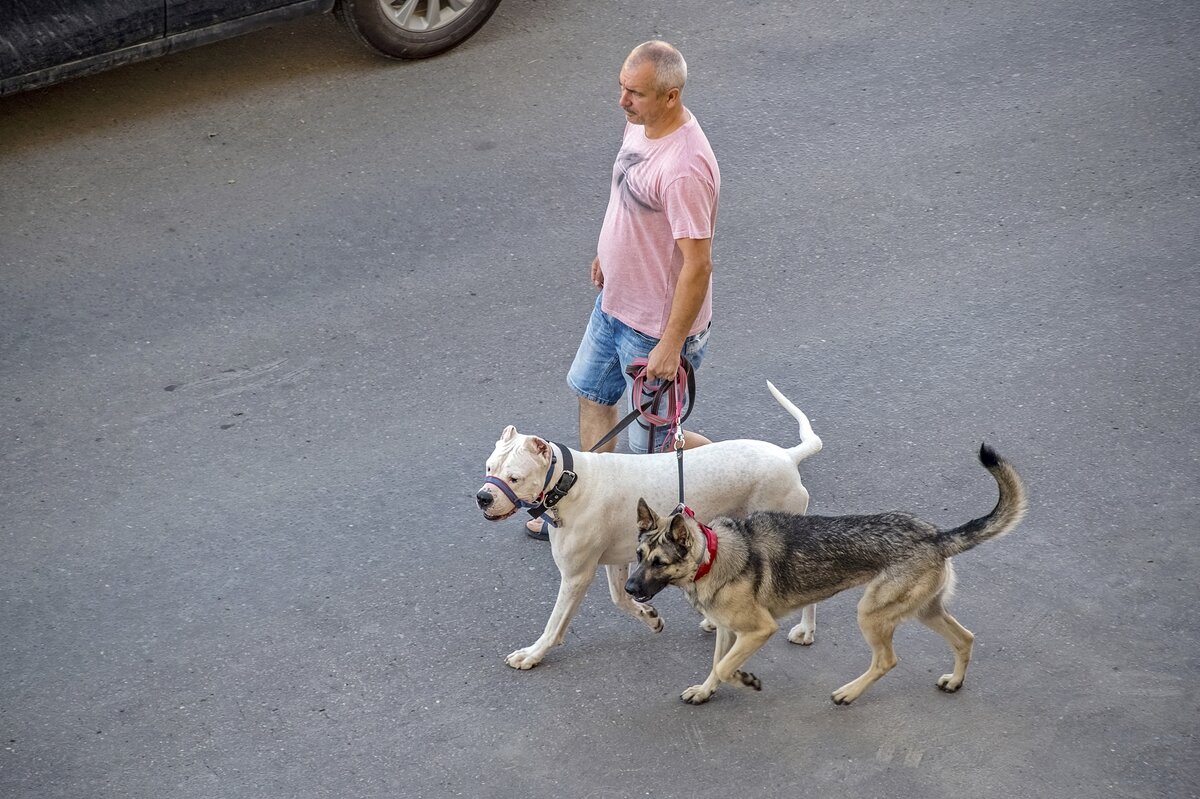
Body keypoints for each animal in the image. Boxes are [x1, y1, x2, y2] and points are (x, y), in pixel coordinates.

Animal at [477, 379, 825, 667]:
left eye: (515, 478)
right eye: (489, 466)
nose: (483, 497)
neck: (570, 482)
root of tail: (788, 456)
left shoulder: (576, 576)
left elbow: (554, 624)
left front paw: (532, 654)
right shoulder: (617, 561)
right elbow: (621, 598)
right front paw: (649, 617)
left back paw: (805, 630)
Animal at [624, 441, 1027, 705]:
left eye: (659, 562)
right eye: (639, 555)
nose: (628, 588)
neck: (714, 554)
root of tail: (936, 535)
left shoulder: (759, 629)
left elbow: (725, 667)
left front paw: (744, 678)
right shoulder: (727, 629)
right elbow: (716, 663)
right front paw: (706, 691)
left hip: (872, 613)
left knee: (887, 660)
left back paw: (849, 692)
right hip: (924, 610)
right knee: (965, 639)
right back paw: (955, 682)